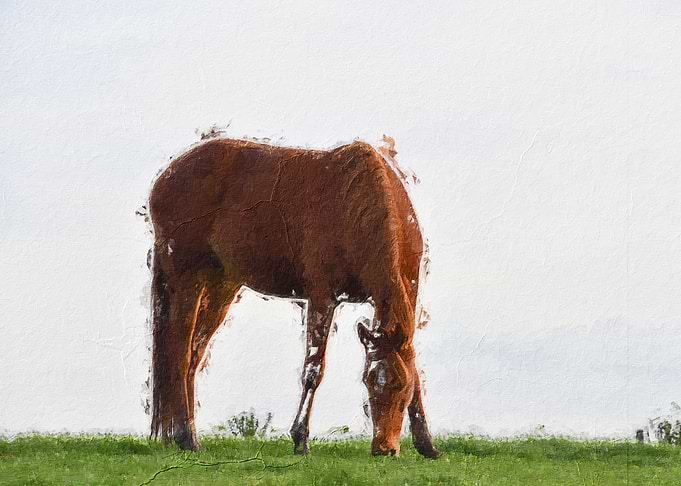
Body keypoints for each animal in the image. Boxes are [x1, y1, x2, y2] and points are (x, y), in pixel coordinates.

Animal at [148, 137, 440, 458]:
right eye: (368, 381)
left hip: (221, 285)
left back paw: (179, 435)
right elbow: (313, 369)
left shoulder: (408, 292)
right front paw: (300, 439)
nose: (384, 449)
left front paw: (426, 444)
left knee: (193, 355)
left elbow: (414, 367)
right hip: (188, 279)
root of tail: (165, 179)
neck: (361, 202)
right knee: (179, 351)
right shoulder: (322, 298)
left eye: (401, 387)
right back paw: (185, 437)